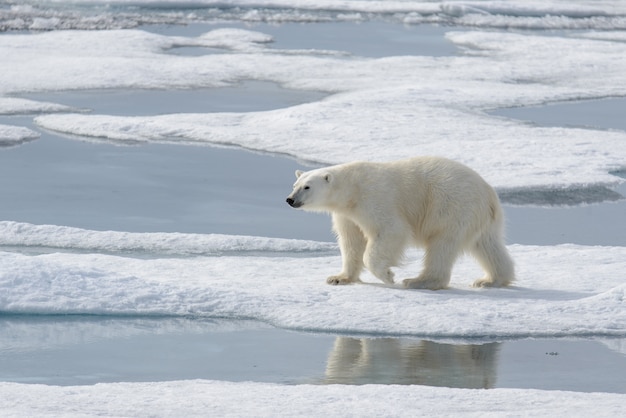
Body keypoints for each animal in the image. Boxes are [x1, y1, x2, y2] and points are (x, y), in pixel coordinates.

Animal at [286, 155, 516, 290]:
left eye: (307, 187)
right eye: (295, 184)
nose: (290, 200)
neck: (351, 190)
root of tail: (489, 194)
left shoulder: (374, 199)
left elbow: (391, 230)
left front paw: (388, 276)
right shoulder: (346, 214)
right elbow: (351, 241)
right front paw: (338, 277)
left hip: (452, 206)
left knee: (442, 245)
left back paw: (419, 281)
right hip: (480, 218)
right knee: (487, 245)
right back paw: (490, 280)